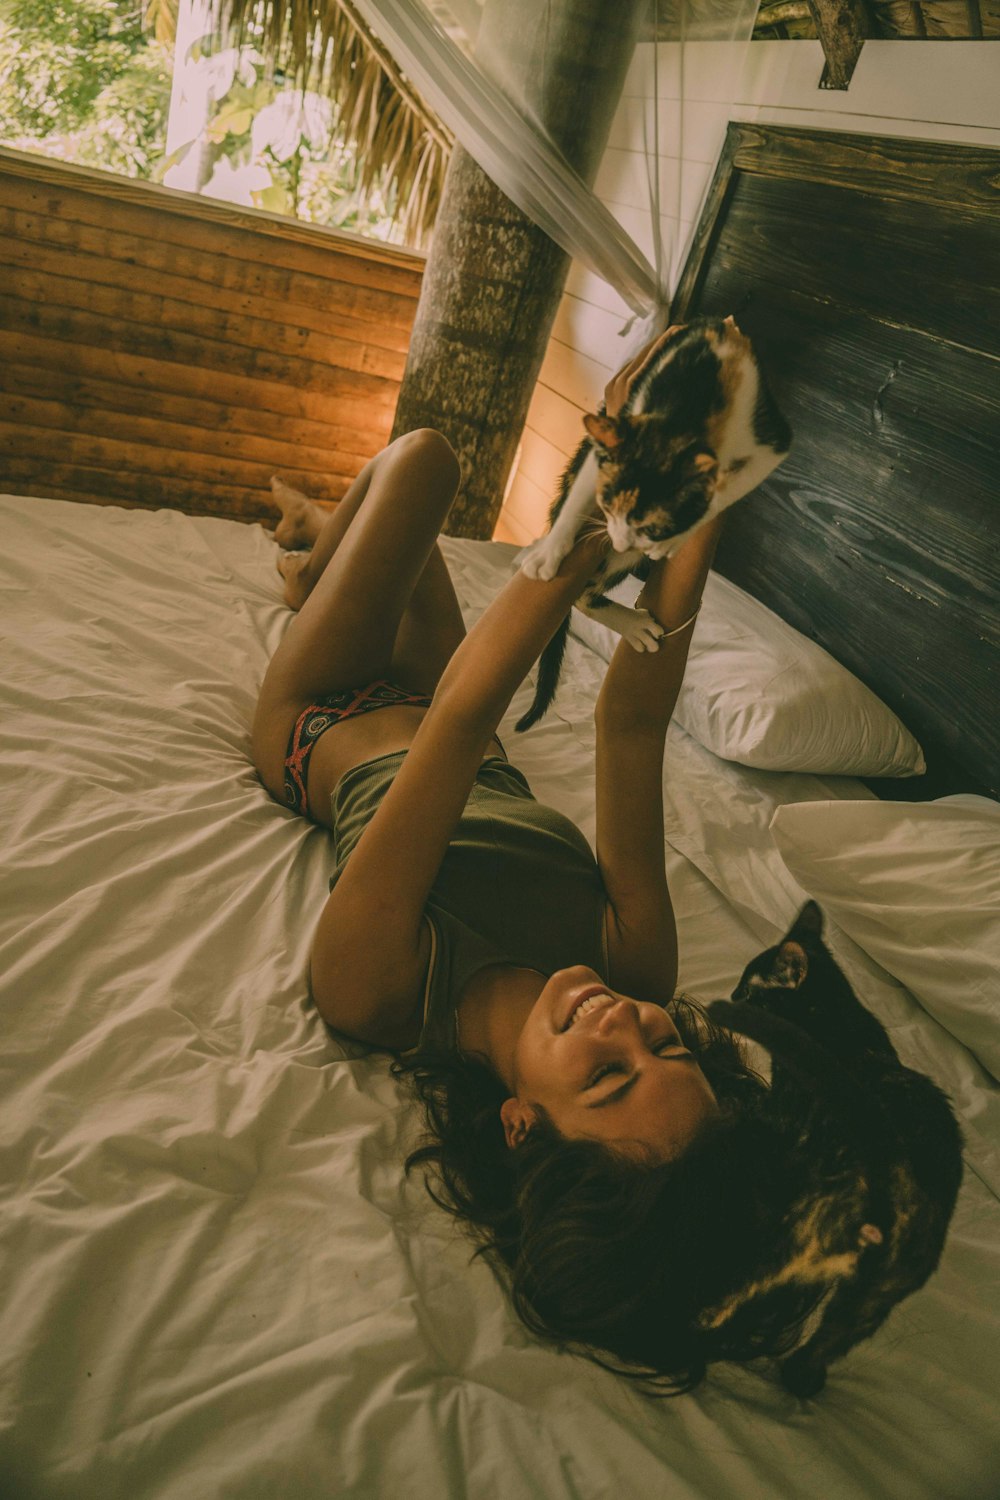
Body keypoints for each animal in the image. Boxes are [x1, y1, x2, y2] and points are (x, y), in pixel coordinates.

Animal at [515, 318, 791, 732]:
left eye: (649, 525)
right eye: (606, 504)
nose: (620, 539)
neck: (693, 394)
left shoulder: (769, 440)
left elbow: (728, 489)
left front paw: (675, 536)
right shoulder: (622, 424)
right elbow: (587, 485)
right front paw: (549, 551)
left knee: (587, 591)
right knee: (583, 591)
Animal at [707, 894, 965, 1398]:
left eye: (748, 990)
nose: (729, 996)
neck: (835, 1020)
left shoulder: (784, 1110)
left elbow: (760, 1106)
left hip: (789, 1242)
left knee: (729, 1301)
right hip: (874, 1298)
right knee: (825, 1343)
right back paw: (801, 1381)